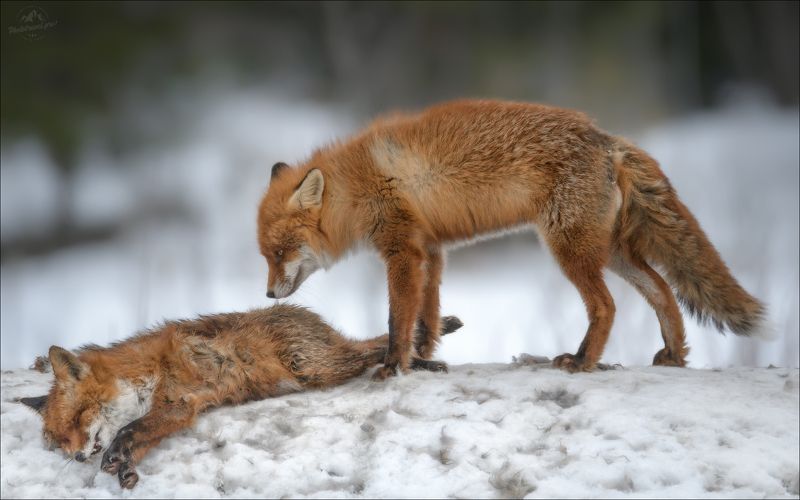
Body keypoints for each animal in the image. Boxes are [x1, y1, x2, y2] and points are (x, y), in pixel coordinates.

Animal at [20, 305, 463, 489]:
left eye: (77, 420)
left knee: (374, 346)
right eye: (60, 442)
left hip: (314, 366)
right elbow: (137, 439)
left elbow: (130, 429)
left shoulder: (176, 401)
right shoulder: (177, 411)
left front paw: (118, 454)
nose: (78, 456)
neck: (140, 375)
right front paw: (124, 468)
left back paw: (424, 349)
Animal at [257, 98, 768, 379]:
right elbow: (427, 318)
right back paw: (673, 355)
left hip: (570, 249)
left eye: (281, 253)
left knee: (607, 306)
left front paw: (393, 366)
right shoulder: (431, 251)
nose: (267, 294)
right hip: (611, 252)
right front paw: (424, 362)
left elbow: (397, 318)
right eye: (266, 255)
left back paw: (582, 361)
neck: (355, 186)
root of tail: (606, 137)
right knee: (662, 290)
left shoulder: (402, 251)